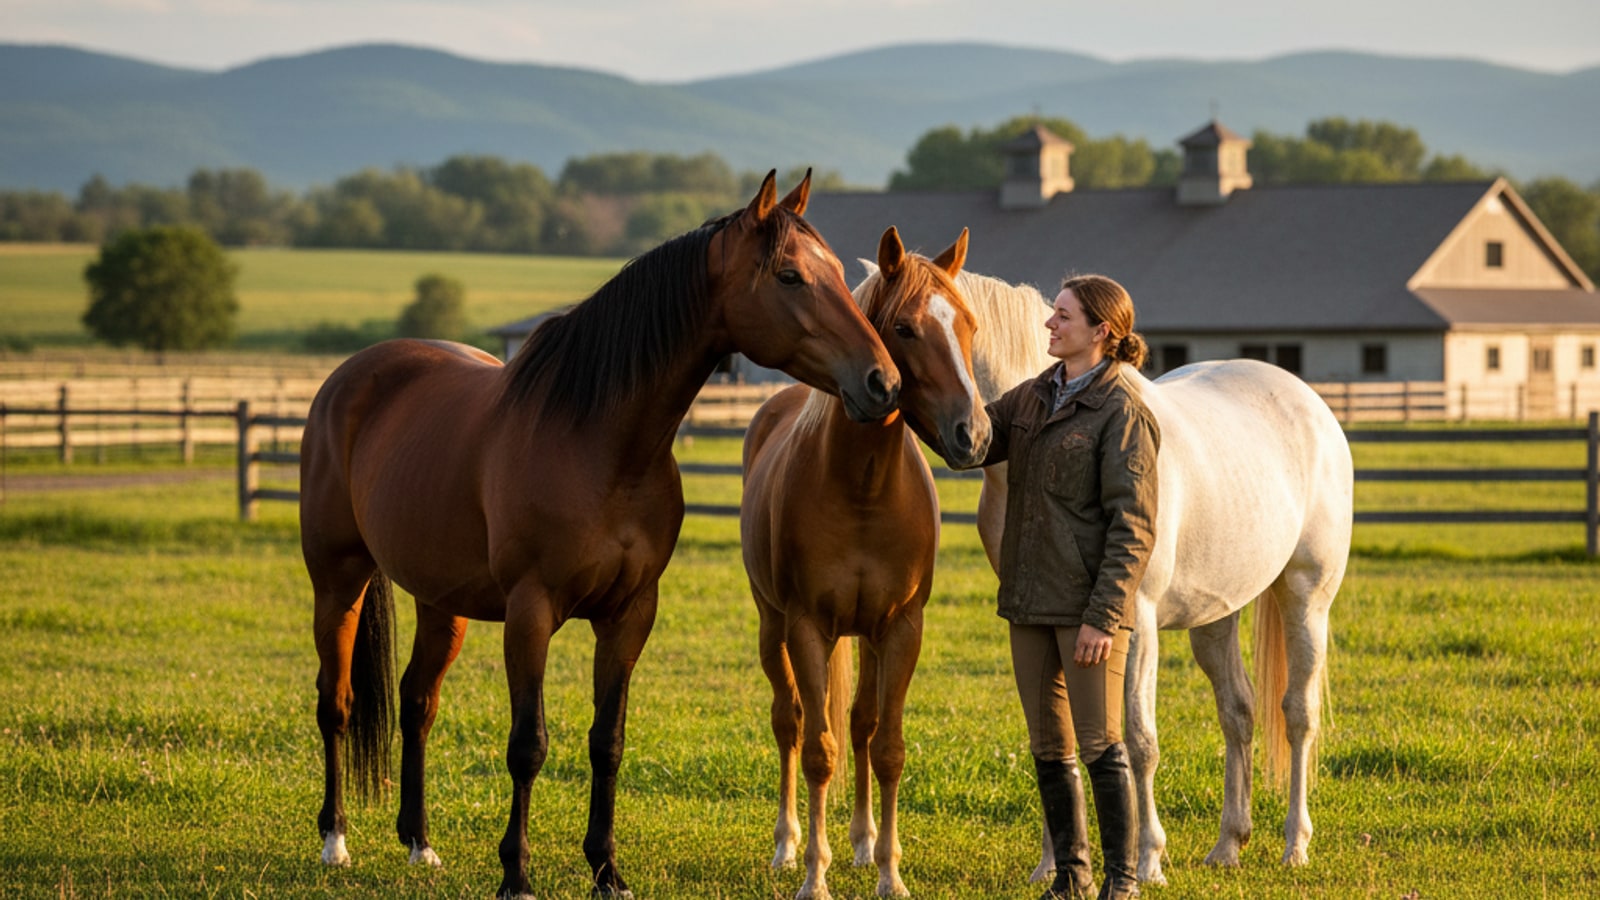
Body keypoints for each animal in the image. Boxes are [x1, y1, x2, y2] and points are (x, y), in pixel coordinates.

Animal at [298, 171, 902, 899]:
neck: (601, 442)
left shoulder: (629, 613)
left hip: (441, 603)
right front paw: (517, 874)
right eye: (790, 275)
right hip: (339, 581)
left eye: (839, 272)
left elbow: (606, 740)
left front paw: (606, 869)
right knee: (336, 702)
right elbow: (528, 744)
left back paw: (419, 842)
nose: (883, 381)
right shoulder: (531, 611)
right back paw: (335, 840)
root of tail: (348, 378)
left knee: (417, 702)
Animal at [740, 226, 990, 899]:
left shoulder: (901, 629)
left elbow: (886, 747)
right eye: (905, 328)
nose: (974, 434)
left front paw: (888, 871)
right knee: (790, 722)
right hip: (773, 627)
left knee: (859, 724)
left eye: (969, 325)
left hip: (869, 638)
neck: (864, 488)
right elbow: (818, 749)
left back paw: (860, 841)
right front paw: (813, 876)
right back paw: (786, 845)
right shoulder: (807, 627)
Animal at [955, 269, 1353, 885]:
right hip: (1217, 616)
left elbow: (1139, 743)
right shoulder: (1039, 622)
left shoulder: (1132, 625)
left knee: (1298, 716)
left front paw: (1147, 861)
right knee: (1238, 711)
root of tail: (1310, 402)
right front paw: (1052, 864)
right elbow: (1055, 732)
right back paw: (1228, 844)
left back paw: (1295, 845)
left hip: (1307, 598)